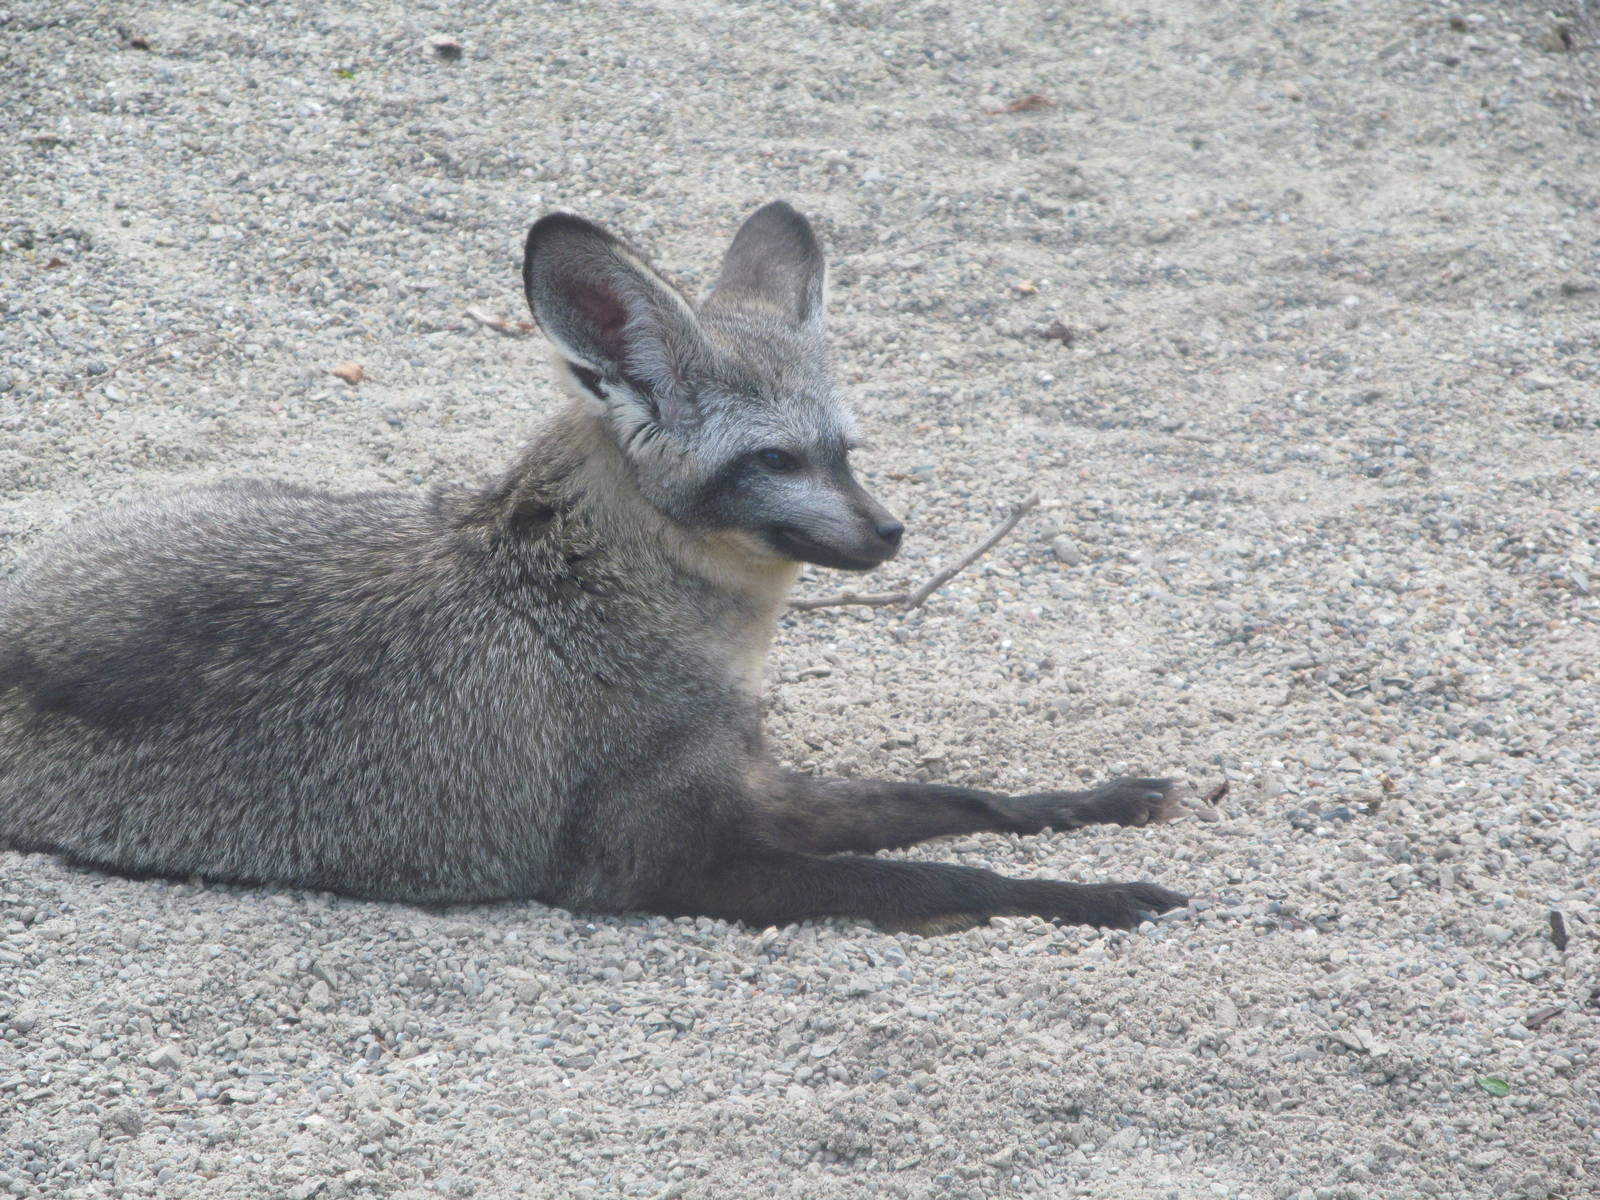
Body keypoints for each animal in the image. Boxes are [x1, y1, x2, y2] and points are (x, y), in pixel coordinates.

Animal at [0, 202, 1187, 932]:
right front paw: (1091, 899)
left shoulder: (754, 783)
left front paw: (1095, 801)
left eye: (847, 453)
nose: (891, 534)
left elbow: (957, 798)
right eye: (774, 461)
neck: (593, 596)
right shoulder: (653, 865)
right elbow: (927, 868)